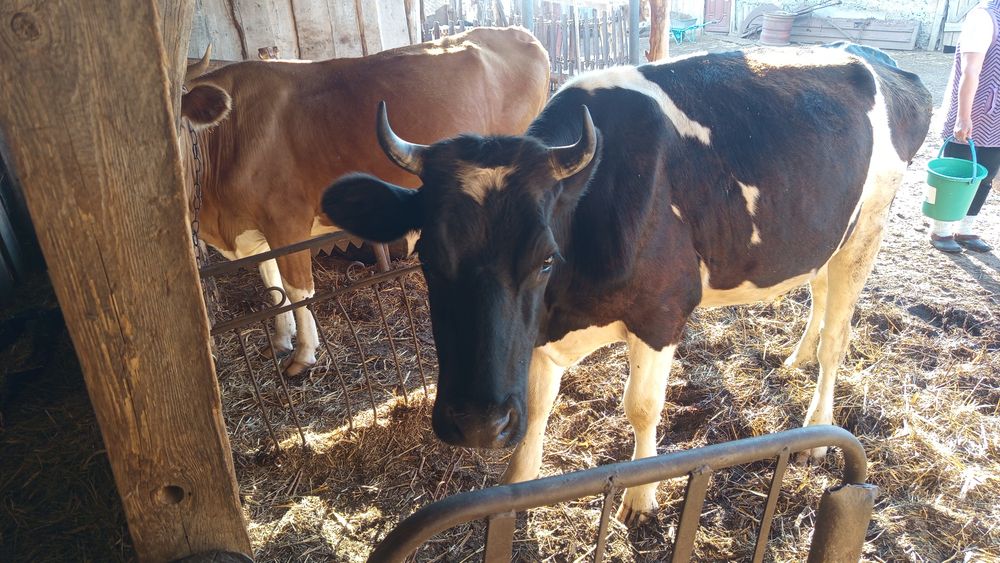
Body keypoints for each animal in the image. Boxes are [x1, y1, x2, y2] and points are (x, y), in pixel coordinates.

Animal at [177, 27, 550, 375]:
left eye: (178, 121)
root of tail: (515, 32)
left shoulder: (286, 220)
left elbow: (297, 291)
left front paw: (303, 354)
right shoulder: (253, 230)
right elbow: (272, 288)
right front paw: (280, 341)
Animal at [321, 44, 932, 523]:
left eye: (546, 259)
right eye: (426, 256)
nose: (477, 424)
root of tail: (880, 62)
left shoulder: (662, 312)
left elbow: (642, 405)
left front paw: (641, 496)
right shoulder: (540, 334)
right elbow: (538, 408)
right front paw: (517, 489)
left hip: (868, 230)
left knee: (839, 337)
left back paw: (815, 428)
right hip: (828, 237)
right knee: (820, 296)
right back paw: (794, 358)